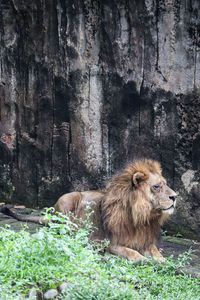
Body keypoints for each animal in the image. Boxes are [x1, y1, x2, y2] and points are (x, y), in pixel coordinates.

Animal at [0, 159, 177, 262]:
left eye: (165, 184)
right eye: (156, 186)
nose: (175, 196)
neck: (141, 216)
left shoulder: (145, 242)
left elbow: (157, 253)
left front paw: (164, 263)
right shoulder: (112, 244)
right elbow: (132, 254)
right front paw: (144, 260)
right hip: (67, 199)